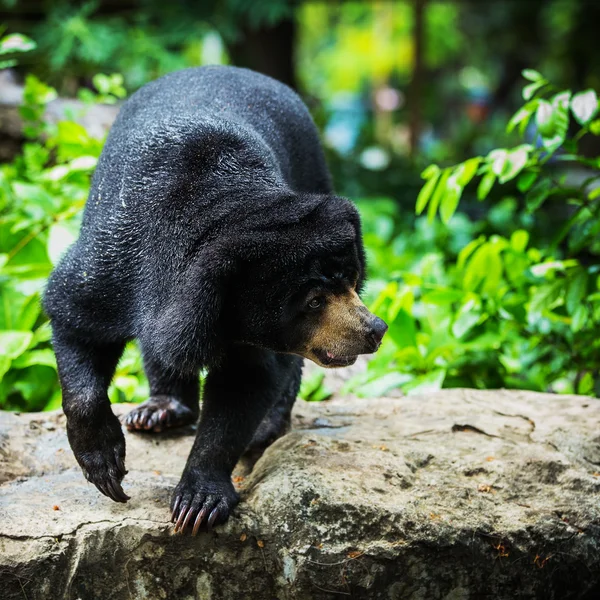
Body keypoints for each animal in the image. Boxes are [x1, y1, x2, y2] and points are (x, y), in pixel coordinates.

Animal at [43, 67, 390, 536]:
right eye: (315, 301)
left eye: (352, 281)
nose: (375, 330)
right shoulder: (112, 255)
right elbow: (73, 317)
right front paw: (105, 467)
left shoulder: (247, 326)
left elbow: (247, 382)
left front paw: (198, 502)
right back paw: (159, 411)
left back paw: (265, 427)